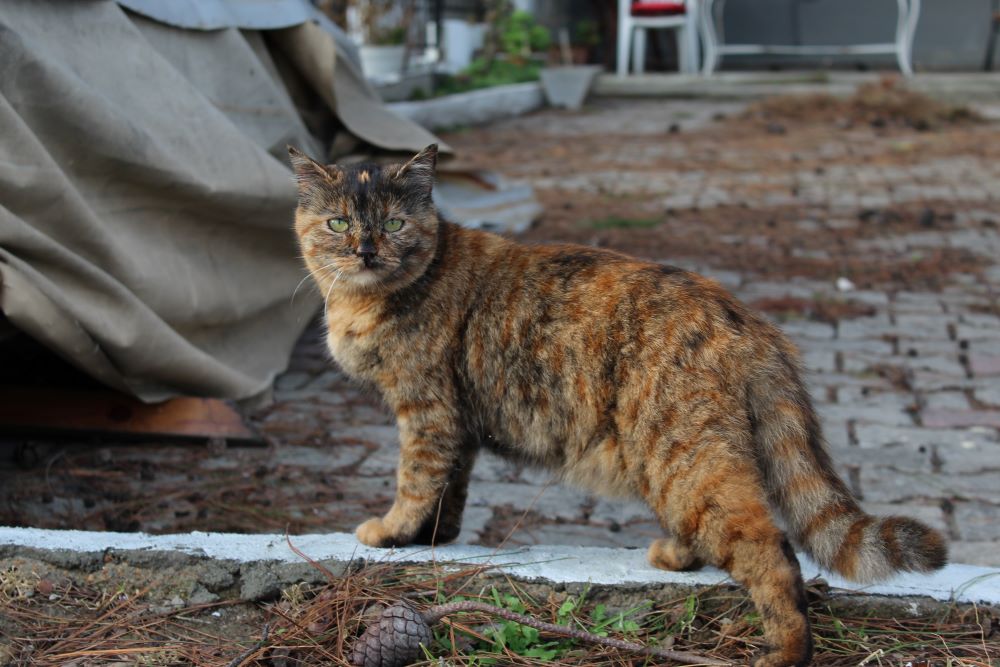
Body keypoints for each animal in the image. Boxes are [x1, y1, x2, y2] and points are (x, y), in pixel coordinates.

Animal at [288, 146, 944, 667]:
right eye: (338, 221)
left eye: (394, 223)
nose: (365, 250)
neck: (364, 300)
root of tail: (752, 323)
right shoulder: (459, 424)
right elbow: (452, 488)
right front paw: (435, 540)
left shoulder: (425, 412)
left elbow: (416, 481)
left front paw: (393, 532)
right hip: (681, 465)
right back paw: (676, 556)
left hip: (683, 456)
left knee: (771, 551)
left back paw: (783, 652)